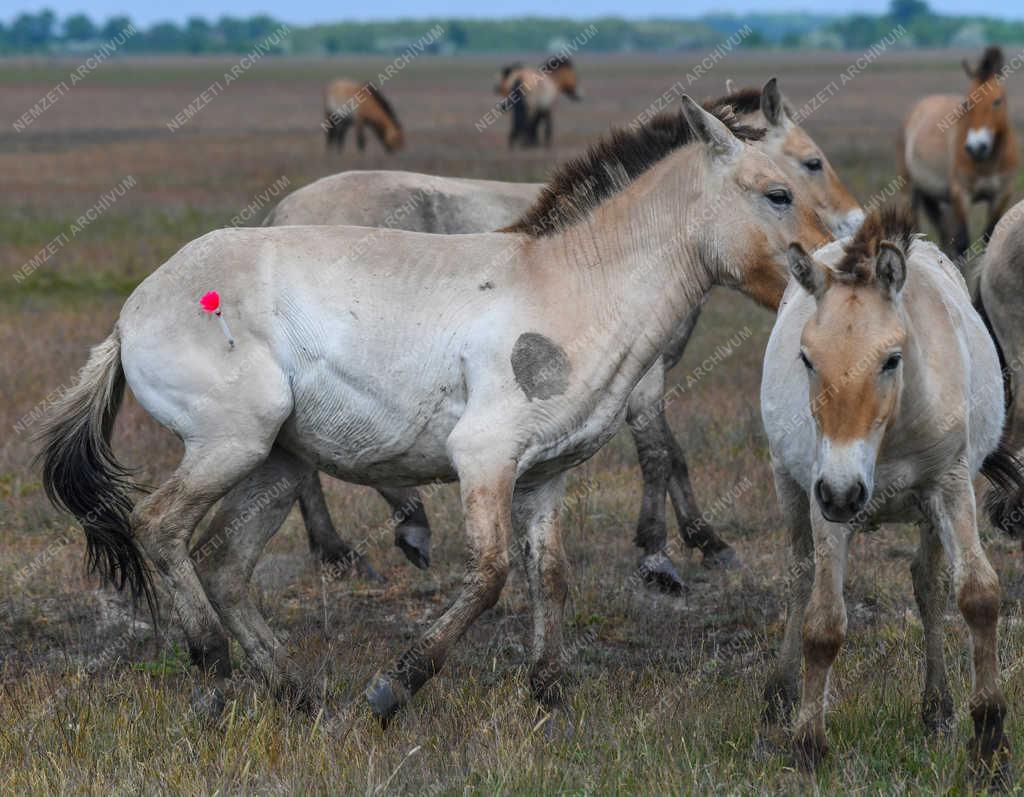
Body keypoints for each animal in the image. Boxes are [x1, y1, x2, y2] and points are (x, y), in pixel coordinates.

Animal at [258, 77, 864, 594]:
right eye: (807, 167)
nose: (849, 236)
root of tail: (281, 211)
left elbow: (668, 454)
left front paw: (694, 543)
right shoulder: (643, 378)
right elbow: (662, 454)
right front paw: (666, 553)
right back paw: (354, 544)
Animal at [757, 203, 1019, 774]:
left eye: (891, 359)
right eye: (807, 359)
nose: (844, 491)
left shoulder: (950, 486)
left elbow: (977, 595)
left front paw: (989, 737)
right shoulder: (823, 503)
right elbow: (823, 623)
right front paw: (809, 745)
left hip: (926, 511)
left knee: (928, 585)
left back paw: (937, 706)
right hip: (790, 486)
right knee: (799, 577)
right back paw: (778, 695)